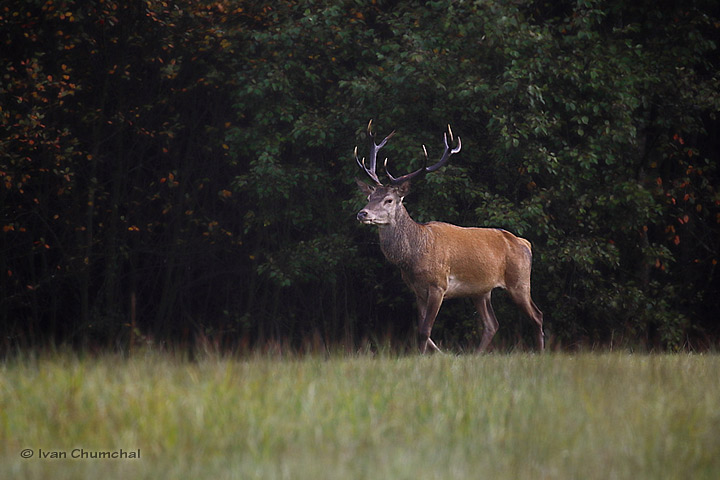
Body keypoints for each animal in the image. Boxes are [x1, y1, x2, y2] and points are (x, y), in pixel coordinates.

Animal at [352, 120, 544, 352]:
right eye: (370, 197)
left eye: (388, 200)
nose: (362, 213)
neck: (412, 258)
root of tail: (524, 243)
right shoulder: (417, 290)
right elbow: (421, 330)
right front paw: (440, 353)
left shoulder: (438, 285)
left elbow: (424, 331)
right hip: (481, 291)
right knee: (492, 324)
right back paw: (477, 355)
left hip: (520, 281)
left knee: (537, 315)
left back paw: (540, 352)